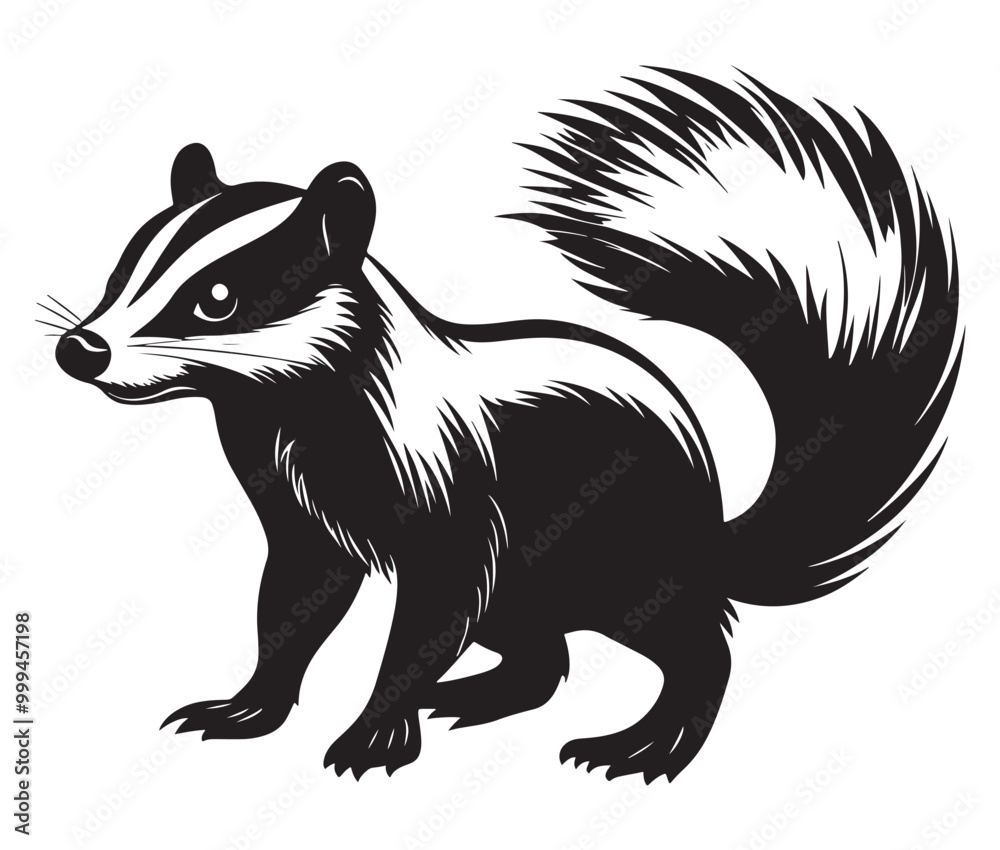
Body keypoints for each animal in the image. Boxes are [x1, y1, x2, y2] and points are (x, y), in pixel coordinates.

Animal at [51, 68, 962, 783]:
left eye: (218, 298)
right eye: (124, 266)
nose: (82, 347)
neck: (291, 412)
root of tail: (711, 520)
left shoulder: (446, 487)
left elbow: (430, 608)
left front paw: (373, 734)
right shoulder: (299, 510)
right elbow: (295, 601)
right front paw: (246, 708)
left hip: (621, 548)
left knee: (690, 642)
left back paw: (645, 744)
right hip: (541, 576)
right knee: (538, 653)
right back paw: (473, 696)